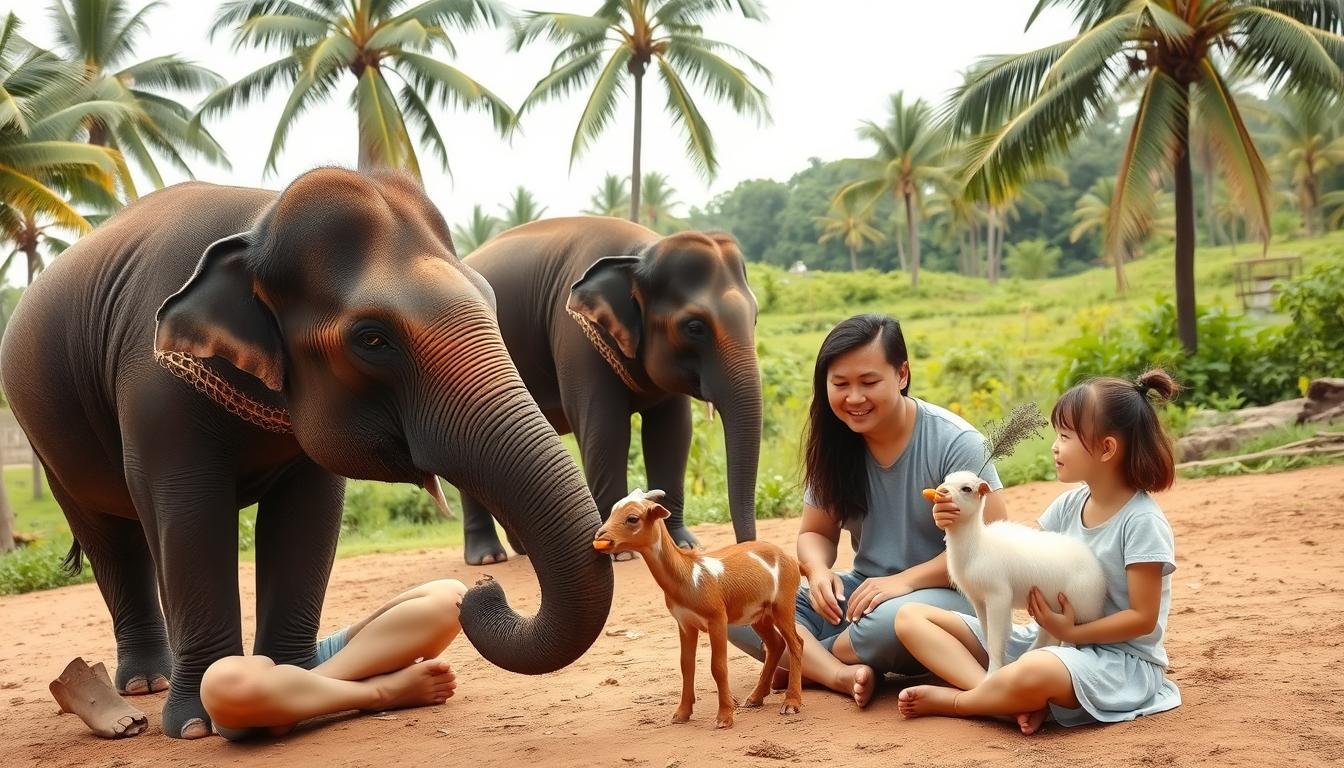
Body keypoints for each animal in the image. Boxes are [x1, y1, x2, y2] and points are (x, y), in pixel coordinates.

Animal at [0, 169, 613, 739]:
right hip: (44, 435)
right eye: (372, 338)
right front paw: (197, 724)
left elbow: (309, 518)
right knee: (110, 537)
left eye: (491, 301)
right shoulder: (153, 382)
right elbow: (191, 516)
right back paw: (147, 684)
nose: (489, 592)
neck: (258, 221)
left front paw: (289, 671)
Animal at [458, 217, 761, 565]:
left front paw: (682, 544)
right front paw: (620, 553)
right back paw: (488, 558)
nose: (748, 549)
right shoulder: (575, 338)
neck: (639, 255)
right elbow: (607, 431)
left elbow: (672, 433)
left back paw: (520, 550)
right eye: (694, 327)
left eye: (755, 318)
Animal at [594, 489, 802, 729]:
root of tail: (791, 559)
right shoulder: (685, 624)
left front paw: (724, 717)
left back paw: (791, 703)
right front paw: (682, 713)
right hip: (759, 614)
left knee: (796, 644)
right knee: (776, 644)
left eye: (632, 518)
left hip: (783, 604)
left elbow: (718, 666)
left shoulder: (717, 619)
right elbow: (686, 666)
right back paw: (755, 698)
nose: (600, 536)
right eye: (612, 511)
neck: (688, 573)